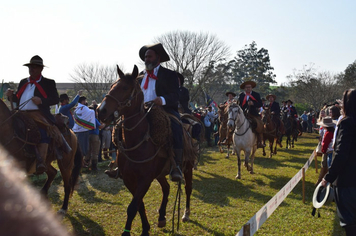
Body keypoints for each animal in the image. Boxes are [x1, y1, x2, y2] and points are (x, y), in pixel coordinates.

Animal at [97, 65, 196, 236]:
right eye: (111, 86)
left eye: (125, 88)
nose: (100, 111)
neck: (137, 142)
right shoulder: (129, 179)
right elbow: (139, 205)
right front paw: (145, 228)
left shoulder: (145, 179)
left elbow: (133, 207)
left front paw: (127, 232)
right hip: (160, 173)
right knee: (166, 188)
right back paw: (162, 217)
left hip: (187, 167)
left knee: (188, 188)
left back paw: (186, 214)